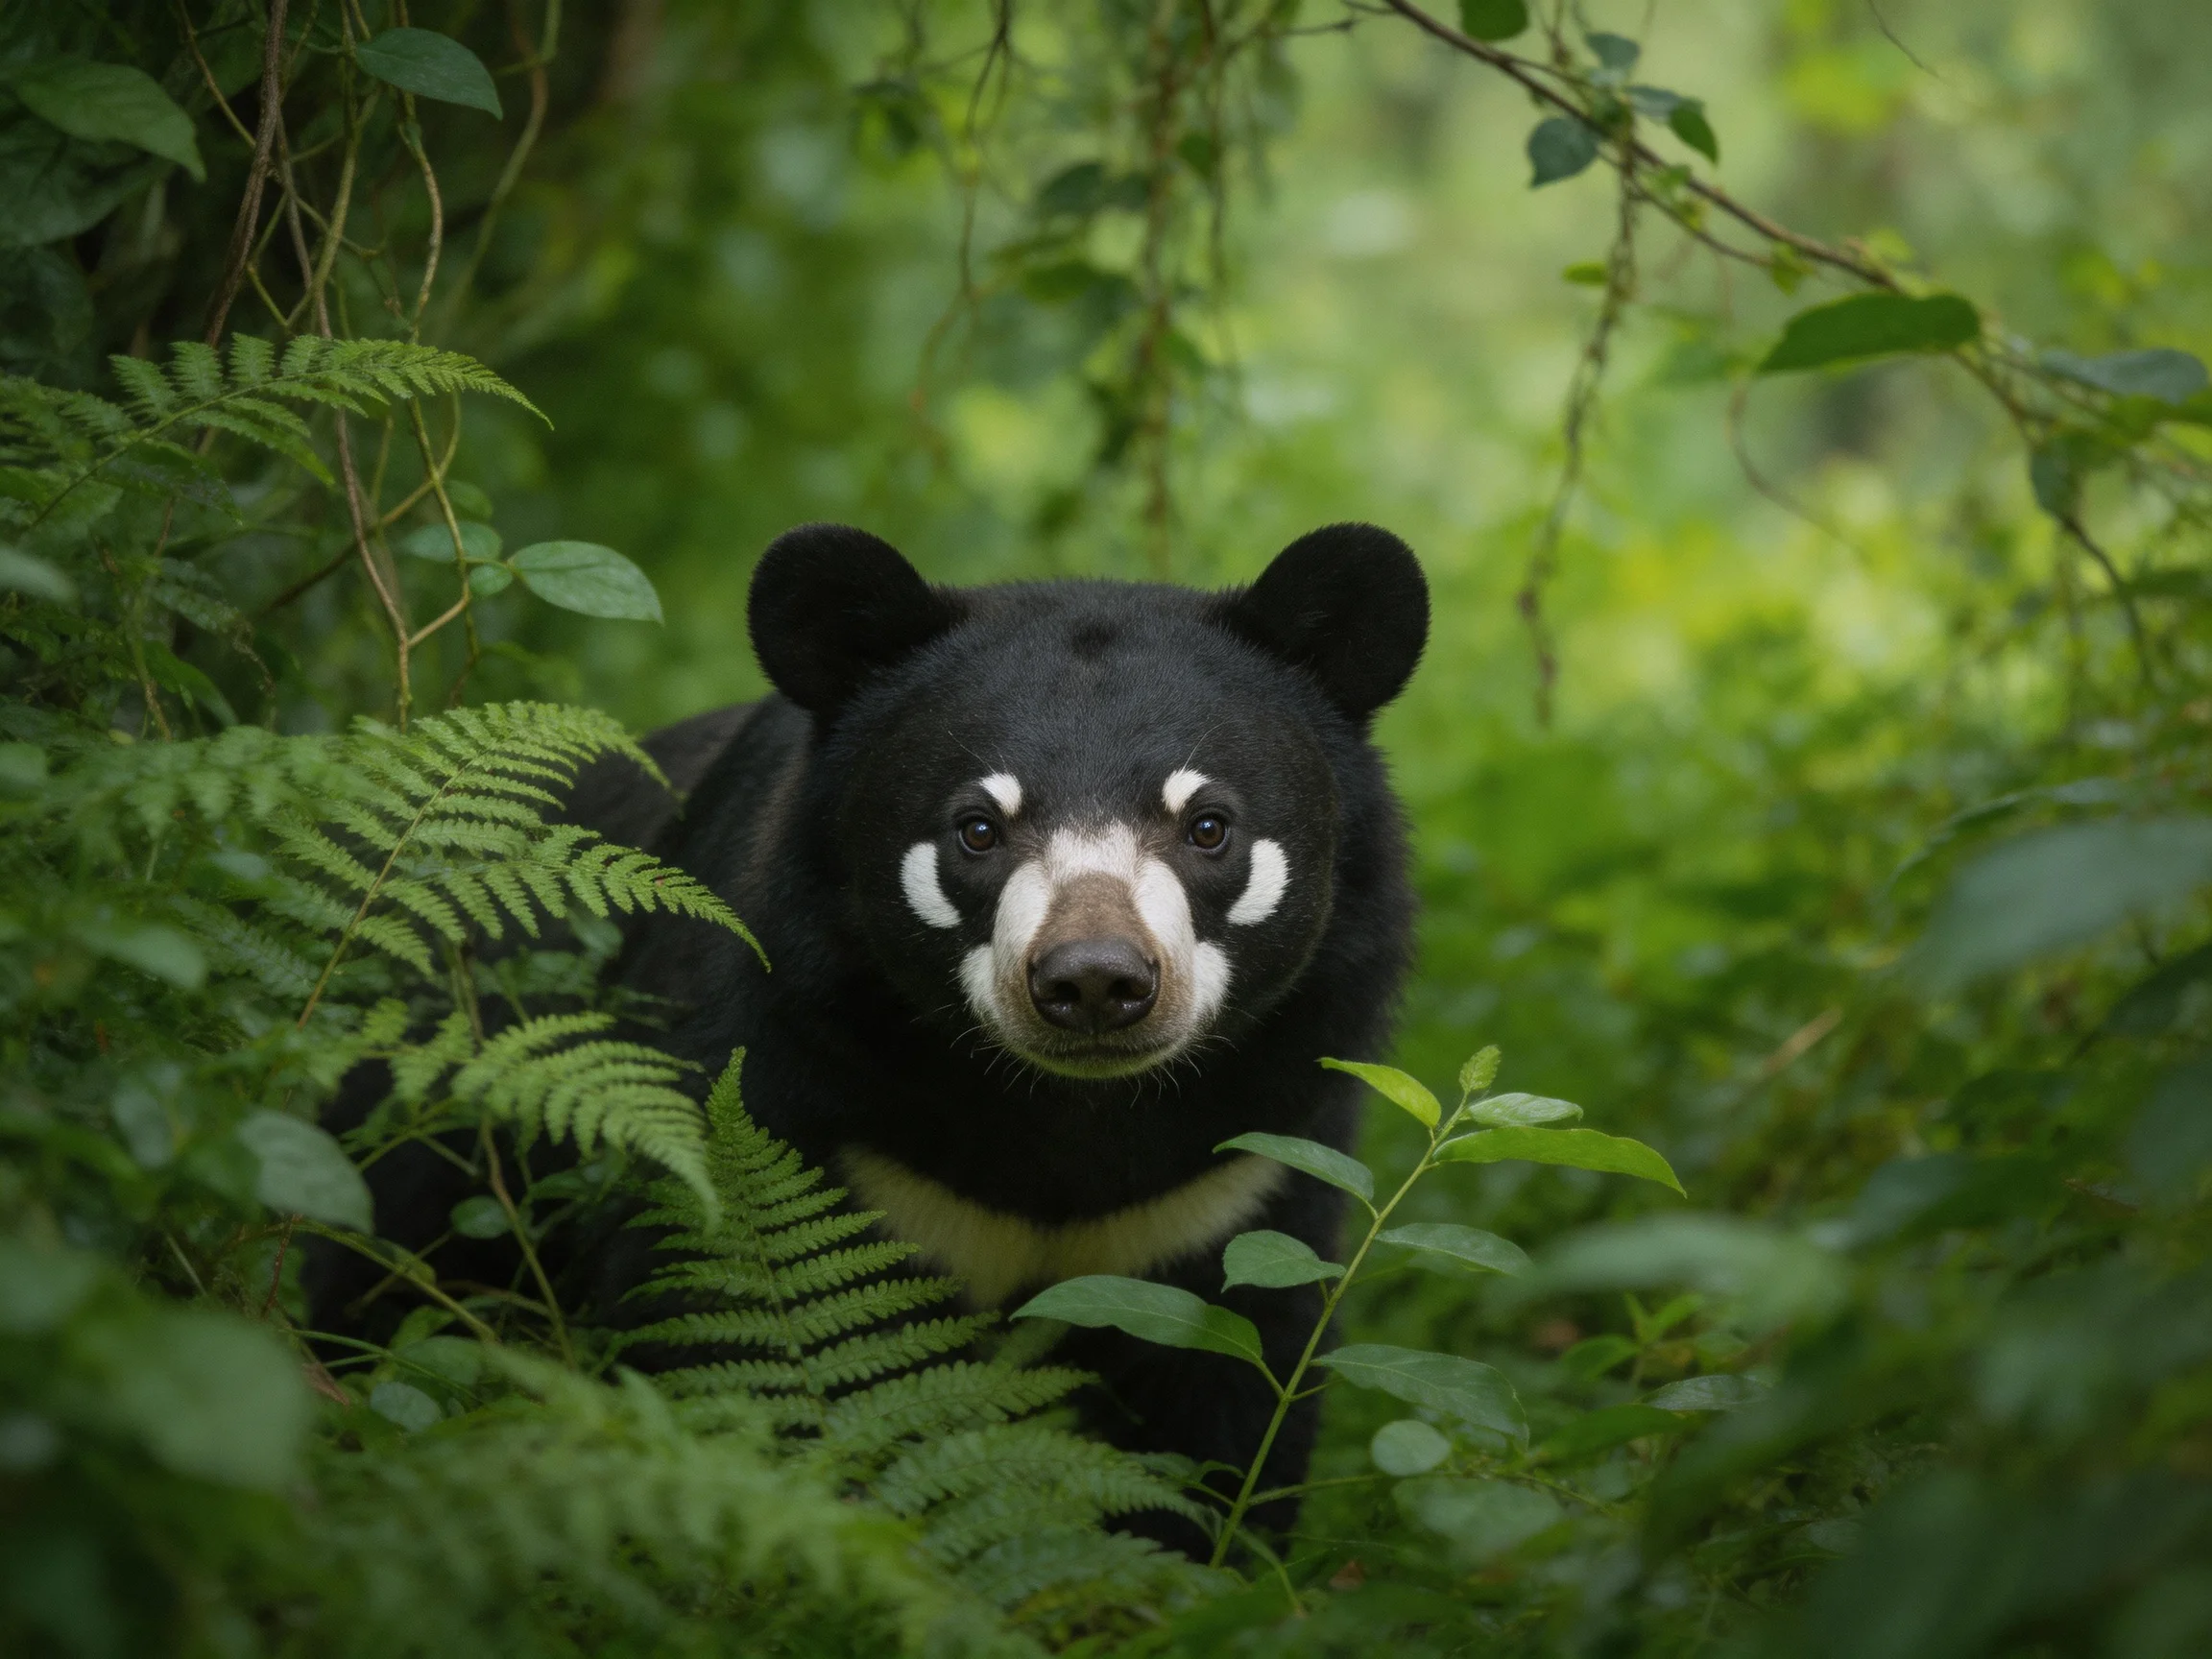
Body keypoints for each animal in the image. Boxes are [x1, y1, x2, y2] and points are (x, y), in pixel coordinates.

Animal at [580, 520, 1430, 1527]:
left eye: (1209, 826)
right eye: (978, 829)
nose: (1095, 980)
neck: (1065, 1113)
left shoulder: (1242, 1174)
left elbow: (1230, 1397)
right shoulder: (786, 1088)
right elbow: (710, 1330)